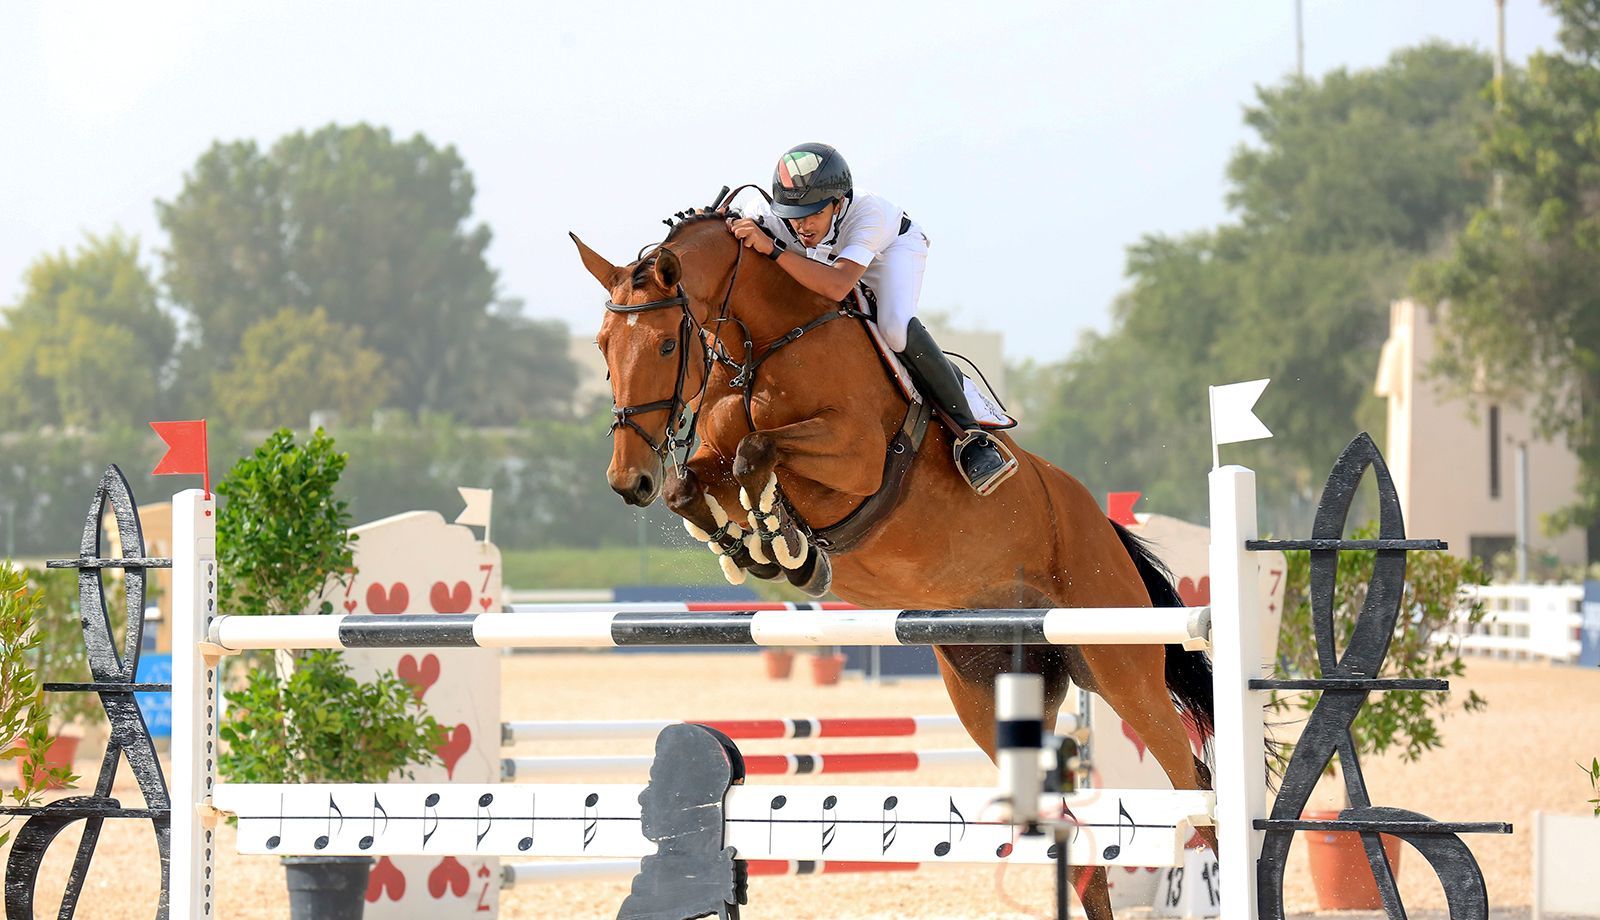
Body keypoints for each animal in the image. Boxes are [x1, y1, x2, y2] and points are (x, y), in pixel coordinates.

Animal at [571, 213, 1215, 918]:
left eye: (665, 346)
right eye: (603, 346)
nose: (627, 481)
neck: (763, 346)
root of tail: (1101, 521)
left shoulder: (851, 455)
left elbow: (757, 451)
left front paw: (787, 545)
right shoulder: (714, 446)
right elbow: (694, 481)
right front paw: (750, 548)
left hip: (1119, 664)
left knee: (1195, 782)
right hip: (990, 689)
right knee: (1068, 827)